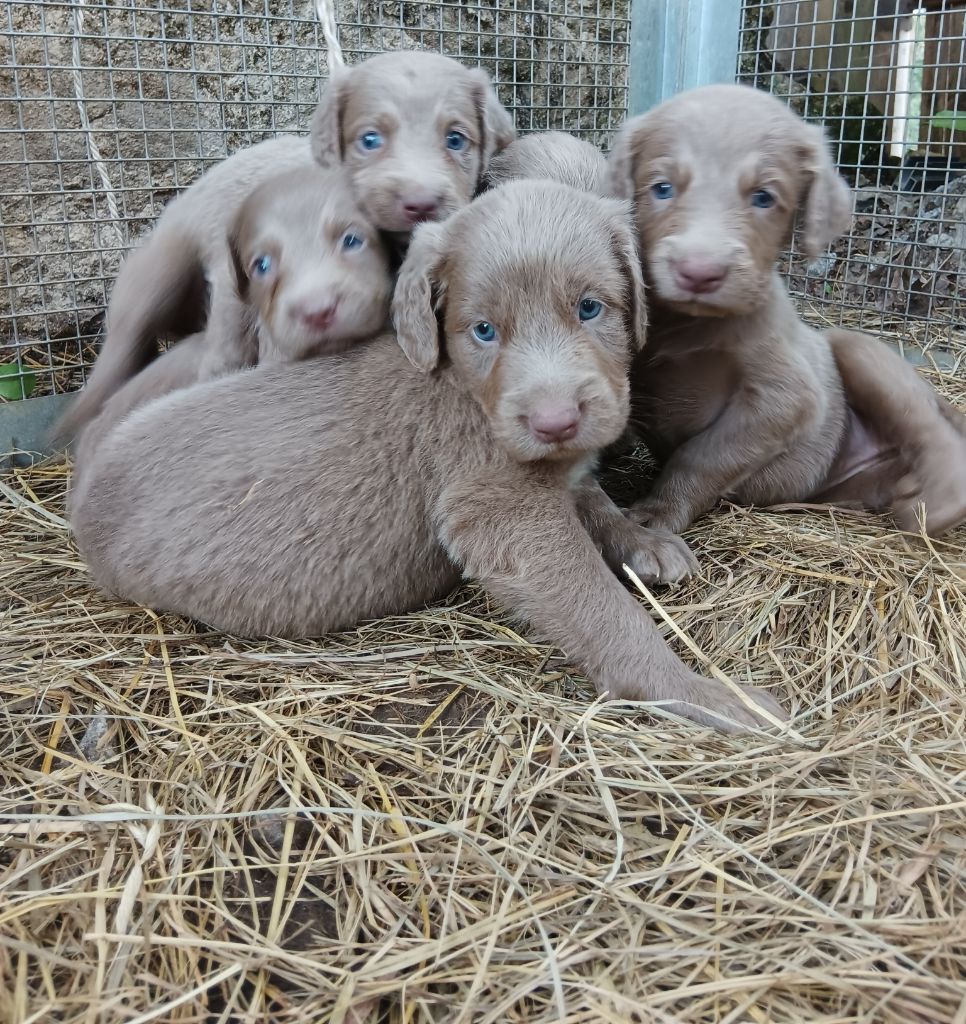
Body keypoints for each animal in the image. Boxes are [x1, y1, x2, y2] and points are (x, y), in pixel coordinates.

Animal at [71, 180, 782, 733]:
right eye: (484, 330)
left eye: (590, 308)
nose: (554, 421)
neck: (467, 388)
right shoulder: (500, 510)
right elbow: (605, 608)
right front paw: (699, 692)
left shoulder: (563, 474)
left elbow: (597, 501)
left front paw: (645, 541)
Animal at [610, 83, 966, 540]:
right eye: (661, 188)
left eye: (764, 197)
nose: (700, 271)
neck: (688, 325)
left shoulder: (786, 396)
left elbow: (702, 454)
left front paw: (658, 512)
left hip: (854, 347)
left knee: (930, 430)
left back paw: (940, 504)